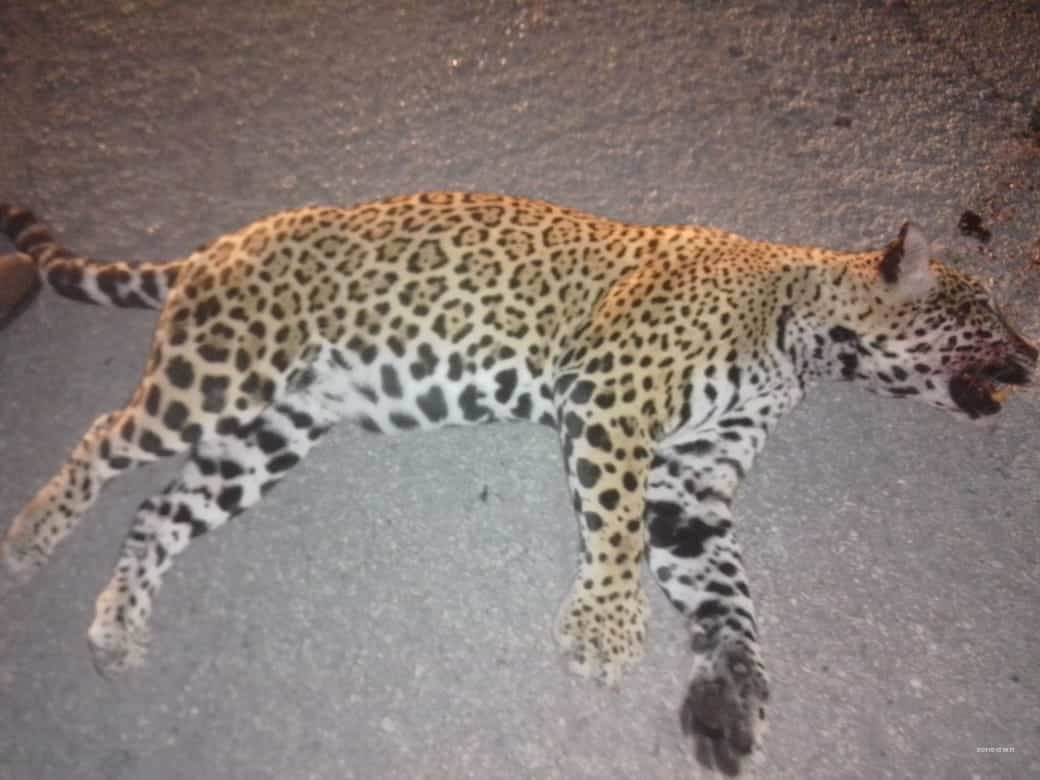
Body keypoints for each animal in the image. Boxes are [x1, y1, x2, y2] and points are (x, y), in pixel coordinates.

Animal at [0, 193, 1035, 774]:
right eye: (987, 313)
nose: (1033, 356)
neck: (801, 338)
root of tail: (214, 245)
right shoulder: (614, 403)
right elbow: (614, 533)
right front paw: (606, 633)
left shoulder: (692, 487)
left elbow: (730, 598)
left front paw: (730, 700)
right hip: (216, 383)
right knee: (104, 436)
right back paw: (31, 536)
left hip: (271, 434)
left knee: (157, 508)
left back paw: (117, 627)